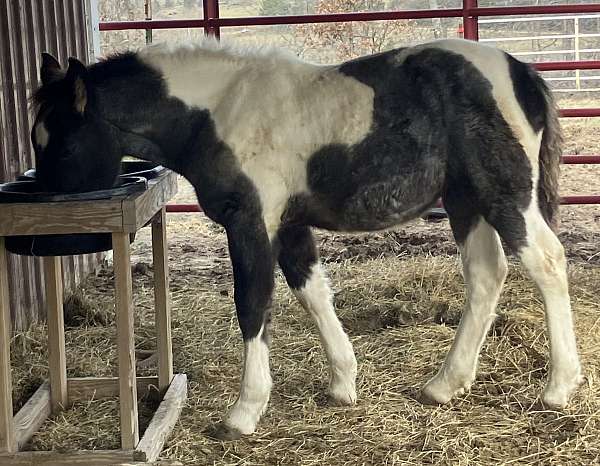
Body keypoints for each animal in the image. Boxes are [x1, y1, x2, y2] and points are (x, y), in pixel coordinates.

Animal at [30, 38, 584, 438]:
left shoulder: (251, 222)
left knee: (547, 262)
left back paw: (559, 387)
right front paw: (342, 382)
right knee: (487, 274)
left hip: (504, 194)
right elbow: (313, 294)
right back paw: (444, 384)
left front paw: (244, 413)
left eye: (64, 143)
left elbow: (253, 305)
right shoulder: (291, 224)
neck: (216, 112)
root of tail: (523, 73)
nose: (49, 226)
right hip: (466, 200)